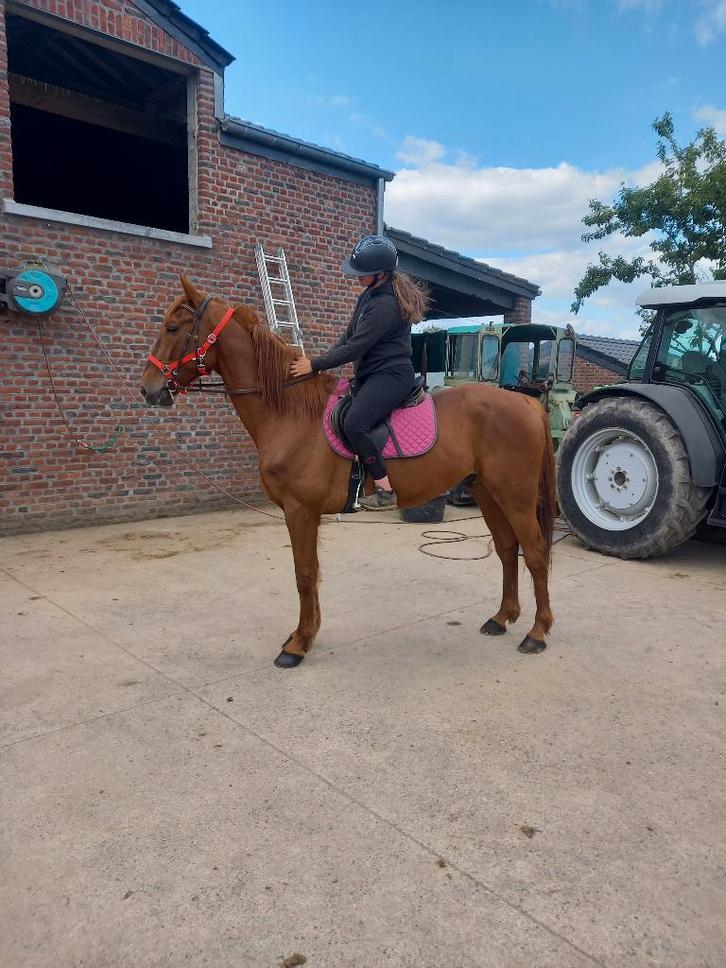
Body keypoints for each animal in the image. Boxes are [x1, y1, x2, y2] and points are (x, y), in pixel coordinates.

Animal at [140, 276, 556, 668]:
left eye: (173, 328)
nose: (148, 389)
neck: (291, 413)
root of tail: (526, 403)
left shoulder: (300, 511)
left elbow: (304, 575)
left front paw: (297, 645)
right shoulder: (303, 514)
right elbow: (310, 574)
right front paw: (306, 634)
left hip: (516, 497)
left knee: (536, 553)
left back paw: (537, 633)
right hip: (486, 491)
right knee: (507, 549)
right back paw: (502, 618)